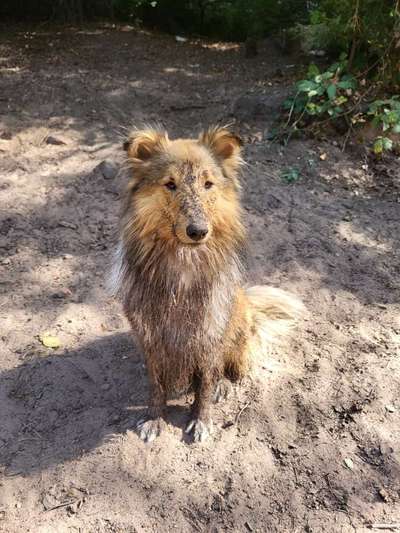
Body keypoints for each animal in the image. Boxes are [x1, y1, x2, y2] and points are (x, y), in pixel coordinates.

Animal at [110, 124, 304, 440]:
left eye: (208, 184)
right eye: (170, 184)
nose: (198, 231)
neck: (183, 265)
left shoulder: (210, 334)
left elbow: (205, 382)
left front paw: (201, 420)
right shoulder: (150, 337)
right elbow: (156, 386)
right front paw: (154, 419)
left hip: (238, 336)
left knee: (231, 372)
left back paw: (223, 386)